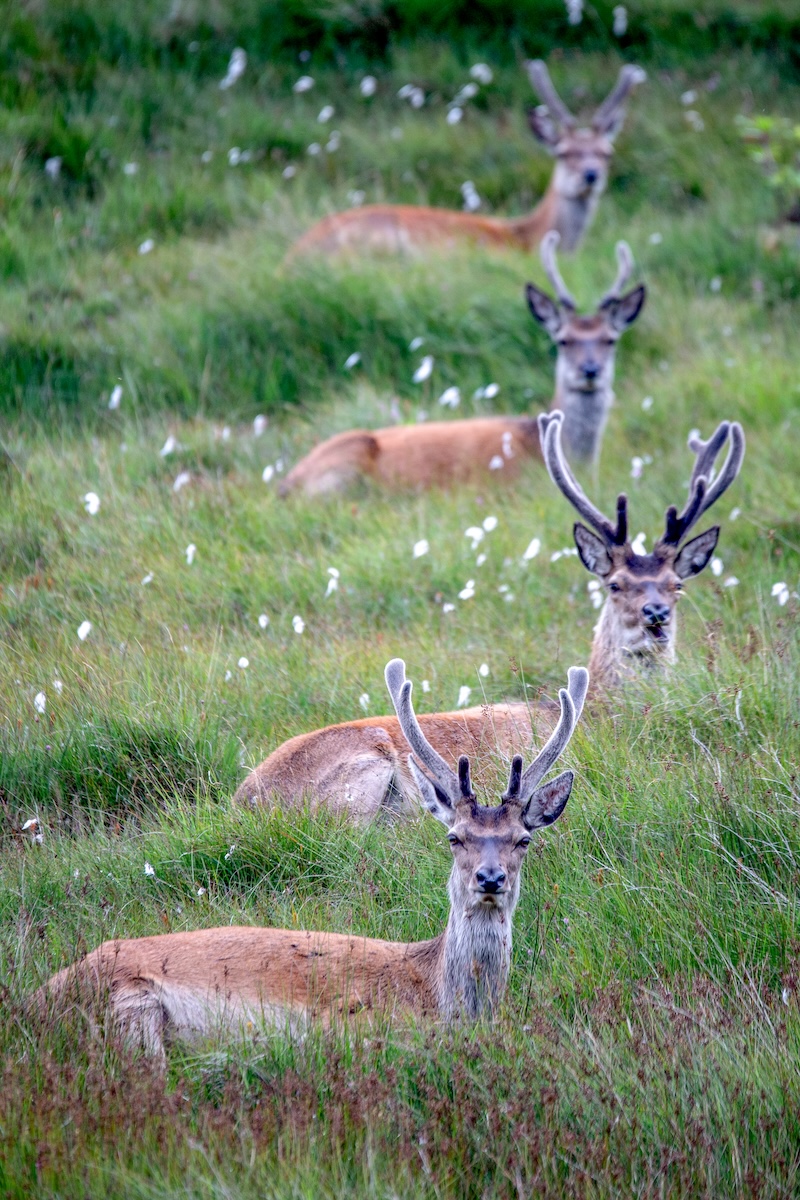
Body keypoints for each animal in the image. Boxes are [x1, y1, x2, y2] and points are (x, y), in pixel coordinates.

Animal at [35, 657, 587, 1060]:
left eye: (523, 839)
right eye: (455, 837)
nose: (489, 879)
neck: (436, 993)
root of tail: (35, 997)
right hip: (133, 1008)